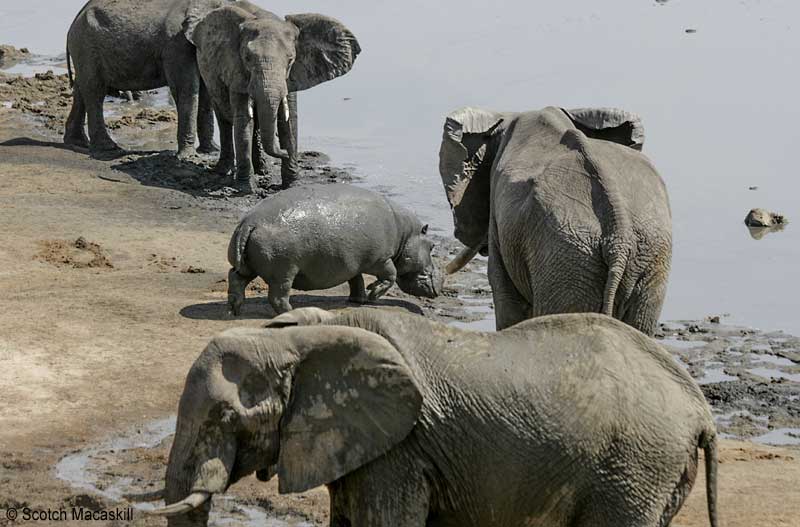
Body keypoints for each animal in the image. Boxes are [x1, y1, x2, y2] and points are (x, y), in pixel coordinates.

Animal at [62, 0, 228, 157]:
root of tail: (73, 24)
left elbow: (205, 91)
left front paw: (212, 151)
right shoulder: (176, 44)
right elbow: (186, 88)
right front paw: (189, 156)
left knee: (81, 90)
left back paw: (78, 142)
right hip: (86, 47)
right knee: (95, 91)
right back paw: (109, 148)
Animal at [150, 308, 720, 527]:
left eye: (225, 417)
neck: (304, 333)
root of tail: (700, 407)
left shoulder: (399, 451)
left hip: (634, 466)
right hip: (656, 471)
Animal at [189, 1, 360, 192]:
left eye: (291, 60)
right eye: (247, 58)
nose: (283, 152)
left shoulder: (293, 77)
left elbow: (289, 121)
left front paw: (291, 185)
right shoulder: (235, 69)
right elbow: (243, 121)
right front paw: (246, 189)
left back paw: (262, 171)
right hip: (208, 73)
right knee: (224, 119)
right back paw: (223, 171)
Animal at [225, 184, 444, 316]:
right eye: (432, 246)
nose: (440, 283)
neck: (406, 234)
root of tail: (249, 222)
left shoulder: (353, 263)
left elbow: (356, 280)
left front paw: (359, 300)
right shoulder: (381, 258)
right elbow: (391, 275)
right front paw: (373, 294)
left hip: (249, 266)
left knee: (236, 278)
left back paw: (234, 309)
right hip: (284, 271)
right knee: (278, 296)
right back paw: (290, 311)